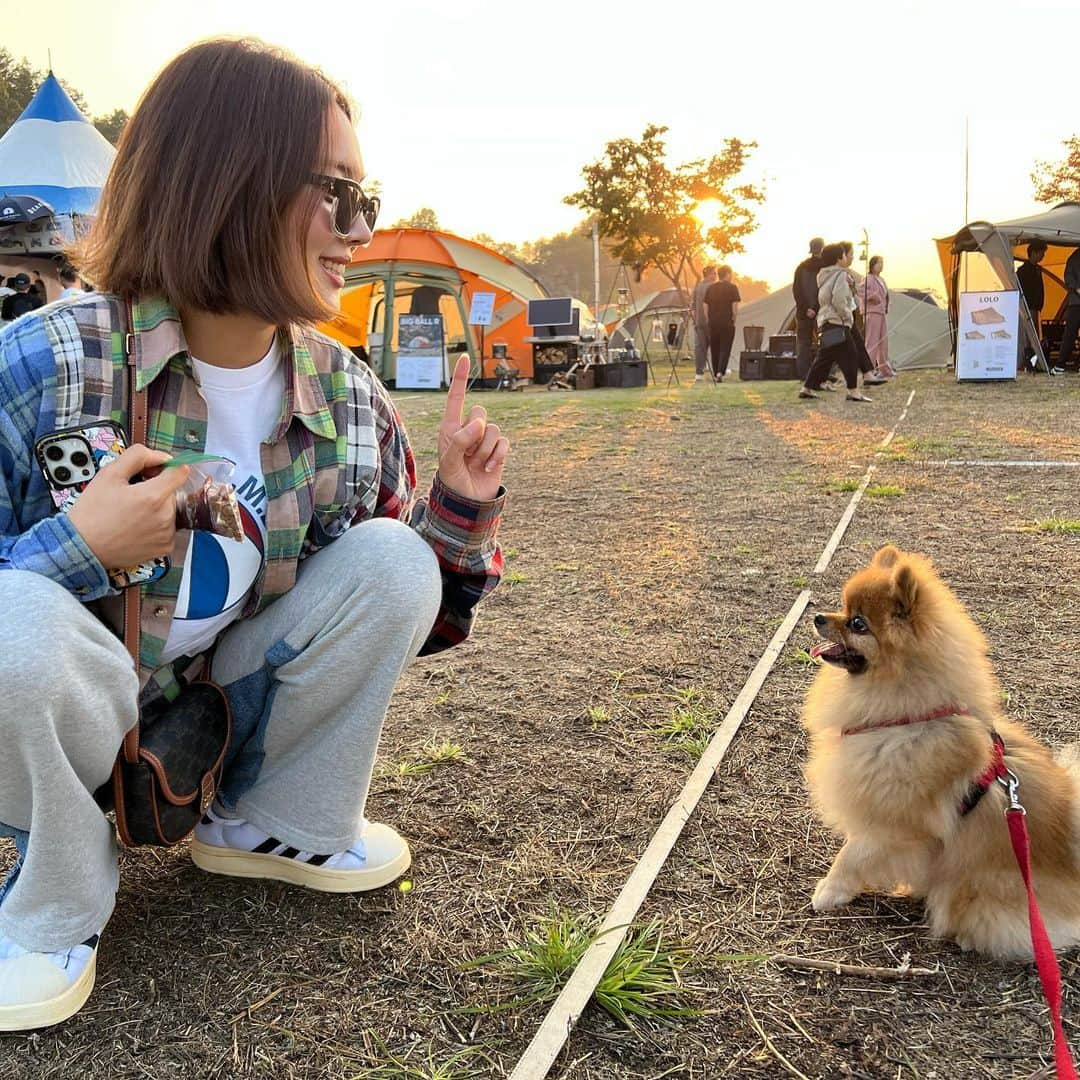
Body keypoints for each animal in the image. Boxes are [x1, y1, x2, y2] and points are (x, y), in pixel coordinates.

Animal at [803, 544, 1080, 959]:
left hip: (978, 896)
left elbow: (850, 855)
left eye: (858, 624)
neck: (907, 717)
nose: (819, 616)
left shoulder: (889, 820)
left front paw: (828, 891)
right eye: (843, 606)